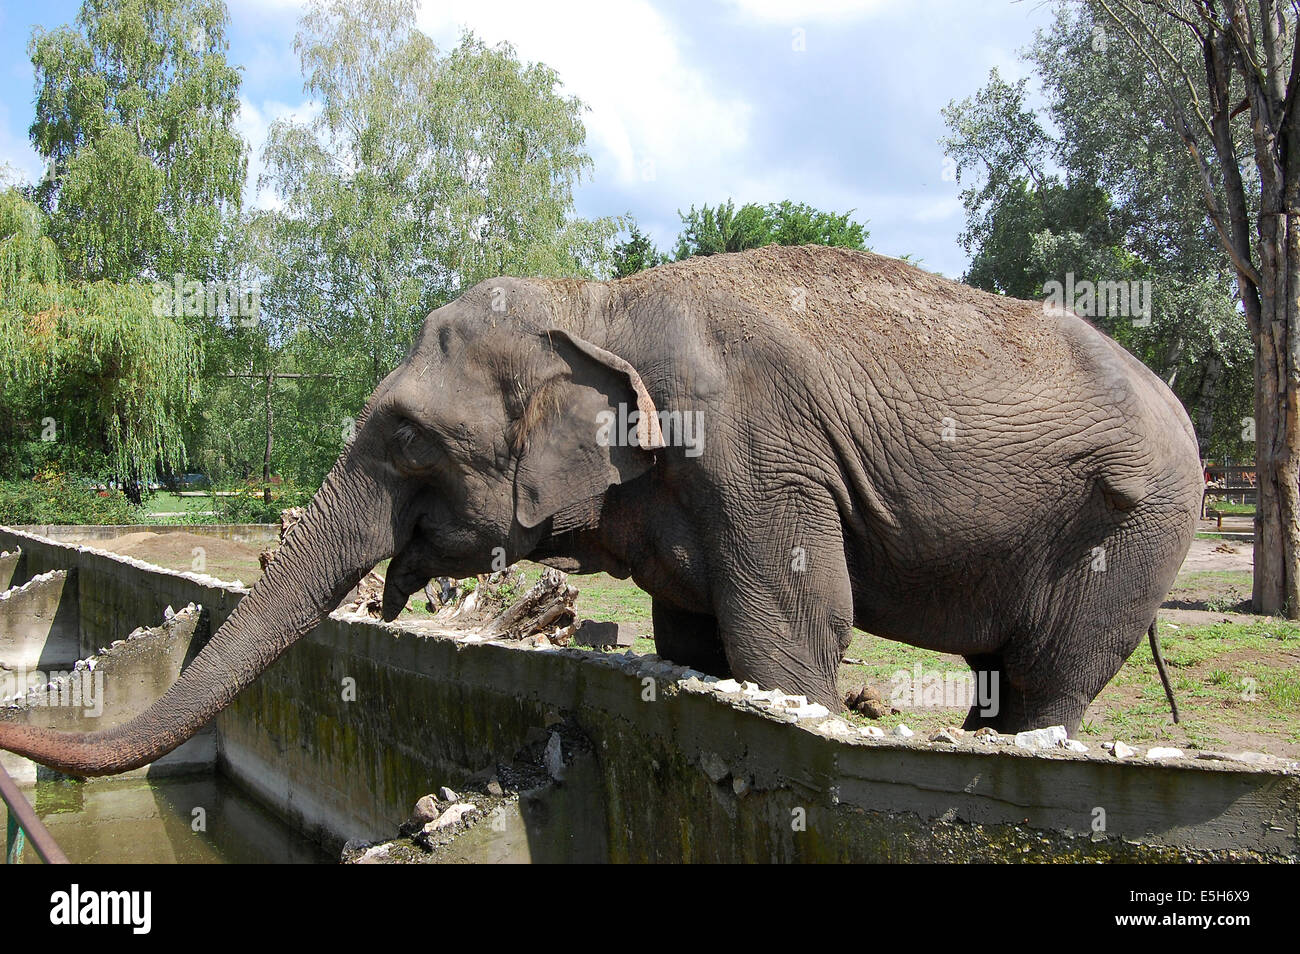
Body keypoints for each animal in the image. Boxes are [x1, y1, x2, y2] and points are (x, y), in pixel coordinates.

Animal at [0, 244, 1202, 776]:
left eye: (403, 438)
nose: (22, 729)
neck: (596, 303)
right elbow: (698, 640)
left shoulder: (760, 455)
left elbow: (793, 638)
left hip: (1138, 528)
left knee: (1052, 679)